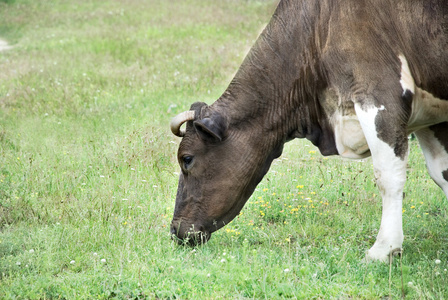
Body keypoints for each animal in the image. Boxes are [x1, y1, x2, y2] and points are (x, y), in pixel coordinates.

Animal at [169, 0, 448, 262]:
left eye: (187, 159)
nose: (175, 230)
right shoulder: (429, 115)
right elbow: (441, 172)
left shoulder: (380, 94)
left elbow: (388, 177)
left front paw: (383, 250)